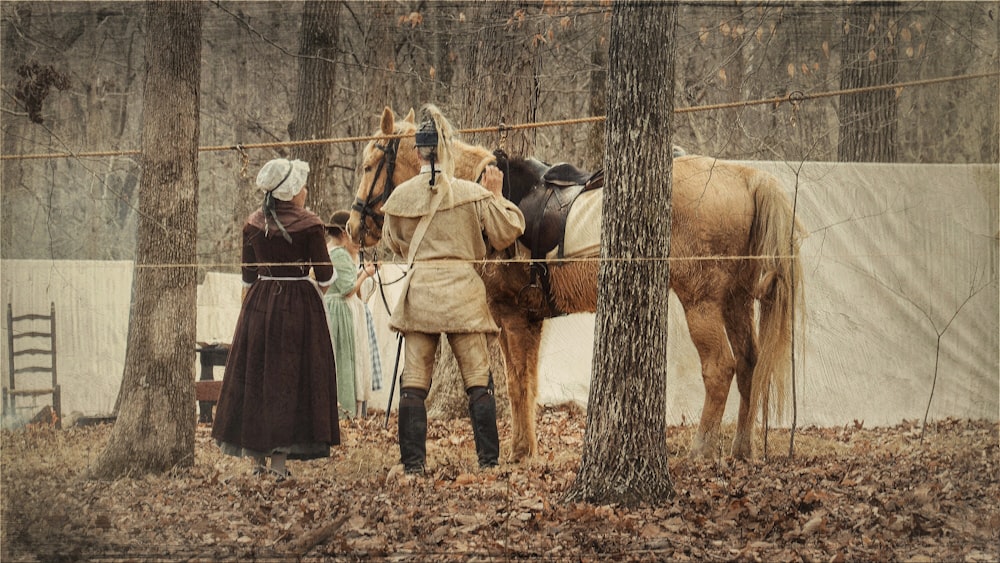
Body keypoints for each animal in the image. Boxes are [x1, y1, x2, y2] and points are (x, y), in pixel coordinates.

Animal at [350, 107, 804, 462]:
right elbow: (528, 382)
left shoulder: (511, 317)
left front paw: (520, 452)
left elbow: (516, 383)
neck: (476, 192)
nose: (354, 225)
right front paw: (527, 449)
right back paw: (742, 448)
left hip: (702, 302)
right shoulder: (530, 319)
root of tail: (744, 176)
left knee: (721, 367)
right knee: (748, 364)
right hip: (735, 300)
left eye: (370, 165)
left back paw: (702, 449)